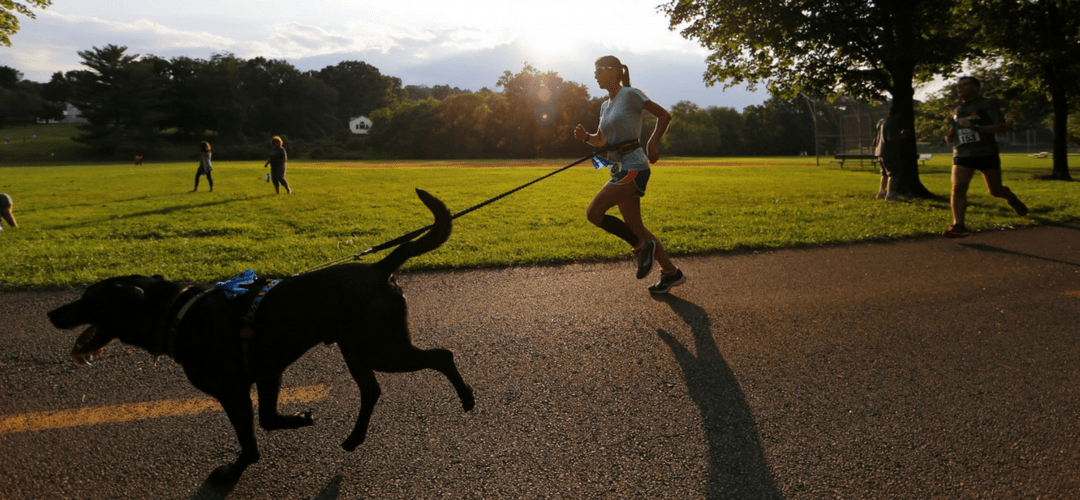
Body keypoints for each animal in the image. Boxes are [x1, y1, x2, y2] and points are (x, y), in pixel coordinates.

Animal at [47, 190, 473, 483]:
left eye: (88, 299)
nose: (52, 313)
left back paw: (467, 397)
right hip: (356, 347)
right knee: (372, 390)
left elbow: (251, 435)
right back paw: (354, 438)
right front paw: (297, 419)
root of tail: (380, 267)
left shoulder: (235, 390)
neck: (178, 314)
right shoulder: (268, 372)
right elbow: (267, 419)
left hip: (382, 347)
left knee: (442, 355)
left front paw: (235, 470)